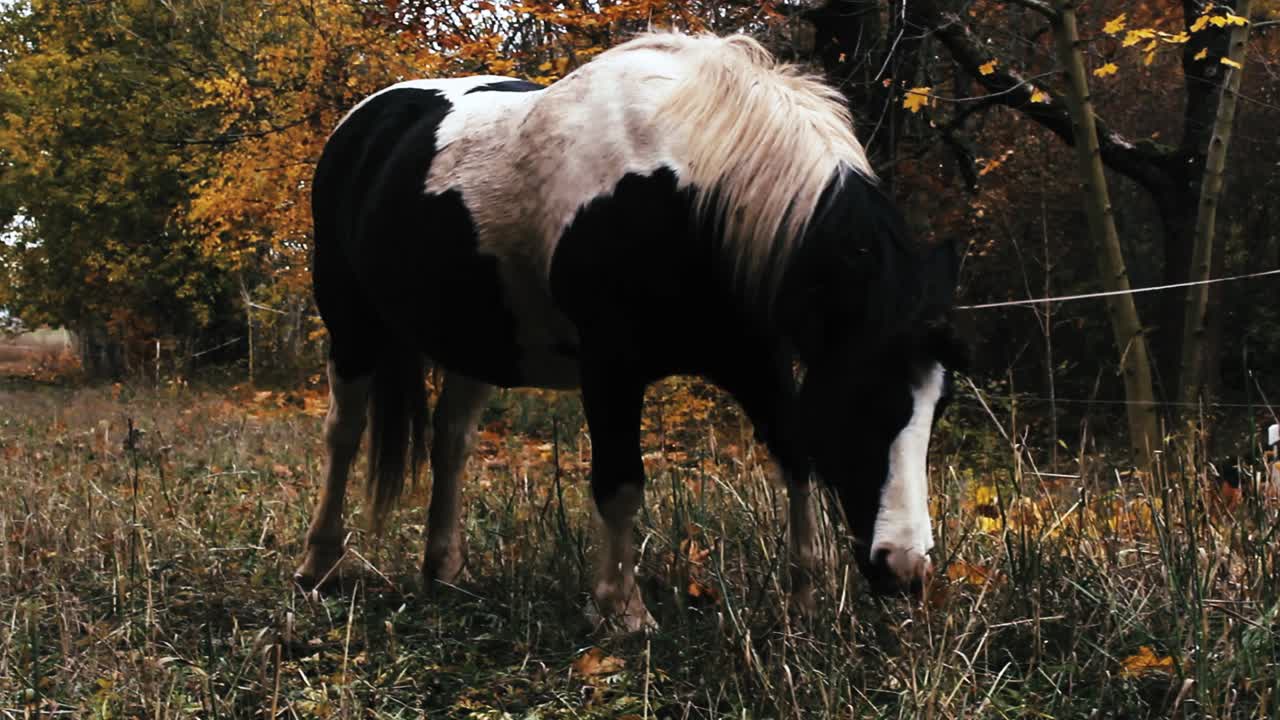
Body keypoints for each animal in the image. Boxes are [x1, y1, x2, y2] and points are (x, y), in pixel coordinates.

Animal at [293, 31, 967, 631]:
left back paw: (444, 570)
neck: (686, 189)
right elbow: (620, 482)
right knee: (343, 434)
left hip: (475, 341)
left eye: (936, 408)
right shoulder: (611, 366)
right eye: (867, 403)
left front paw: (804, 600)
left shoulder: (756, 358)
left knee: (451, 441)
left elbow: (794, 453)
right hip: (350, 323)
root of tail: (365, 121)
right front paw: (624, 613)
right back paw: (319, 566)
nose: (906, 571)